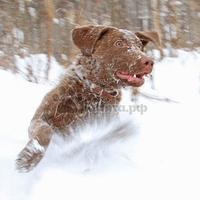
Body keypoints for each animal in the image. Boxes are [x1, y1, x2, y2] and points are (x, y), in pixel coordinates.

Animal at [16, 25, 159, 172]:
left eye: (140, 47)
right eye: (119, 43)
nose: (149, 61)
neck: (92, 92)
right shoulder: (41, 116)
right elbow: (45, 130)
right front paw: (30, 156)